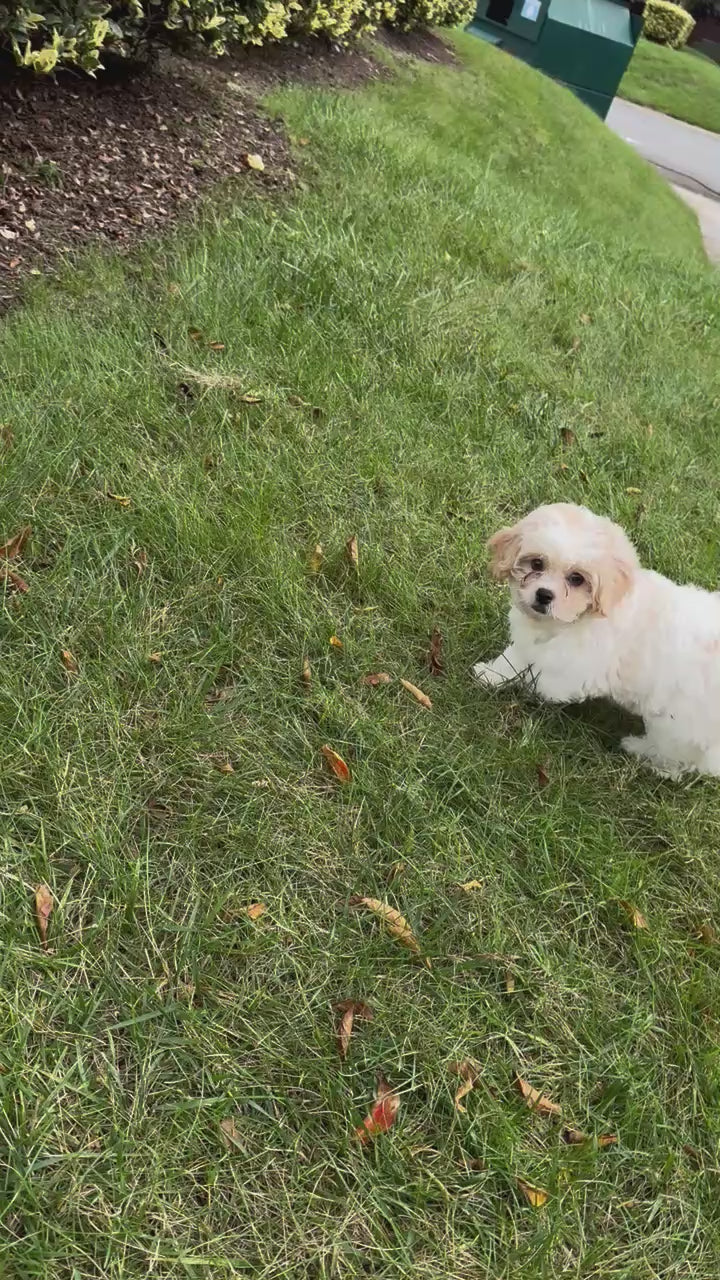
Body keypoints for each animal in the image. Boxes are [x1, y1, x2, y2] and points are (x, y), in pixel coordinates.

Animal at [471, 504, 720, 773]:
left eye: (577, 579)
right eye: (537, 563)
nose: (544, 595)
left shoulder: (570, 671)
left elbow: (536, 676)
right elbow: (515, 657)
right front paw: (490, 674)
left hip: (678, 725)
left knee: (675, 759)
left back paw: (639, 749)